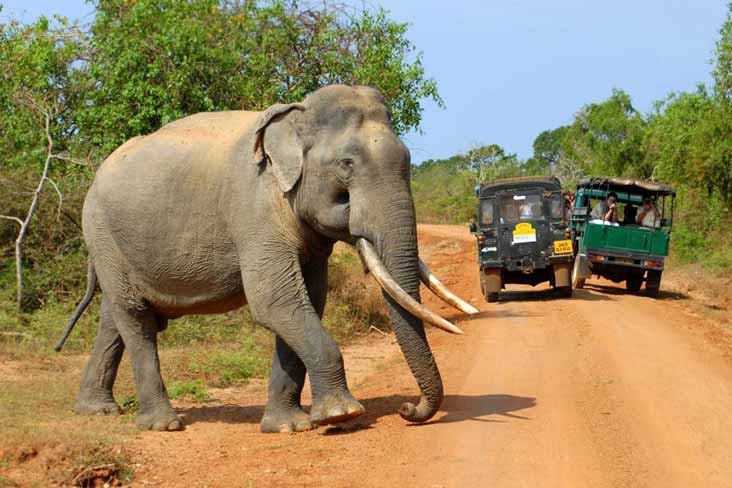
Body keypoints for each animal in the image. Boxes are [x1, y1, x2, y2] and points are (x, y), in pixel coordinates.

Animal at [58, 84, 480, 430]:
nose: (408, 410)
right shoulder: (255, 209)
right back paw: (163, 424)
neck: (295, 117)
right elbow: (275, 301)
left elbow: (308, 300)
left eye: (407, 161)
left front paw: (289, 426)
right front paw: (342, 415)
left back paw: (96, 410)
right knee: (136, 317)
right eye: (347, 164)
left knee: (116, 316)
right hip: (101, 231)